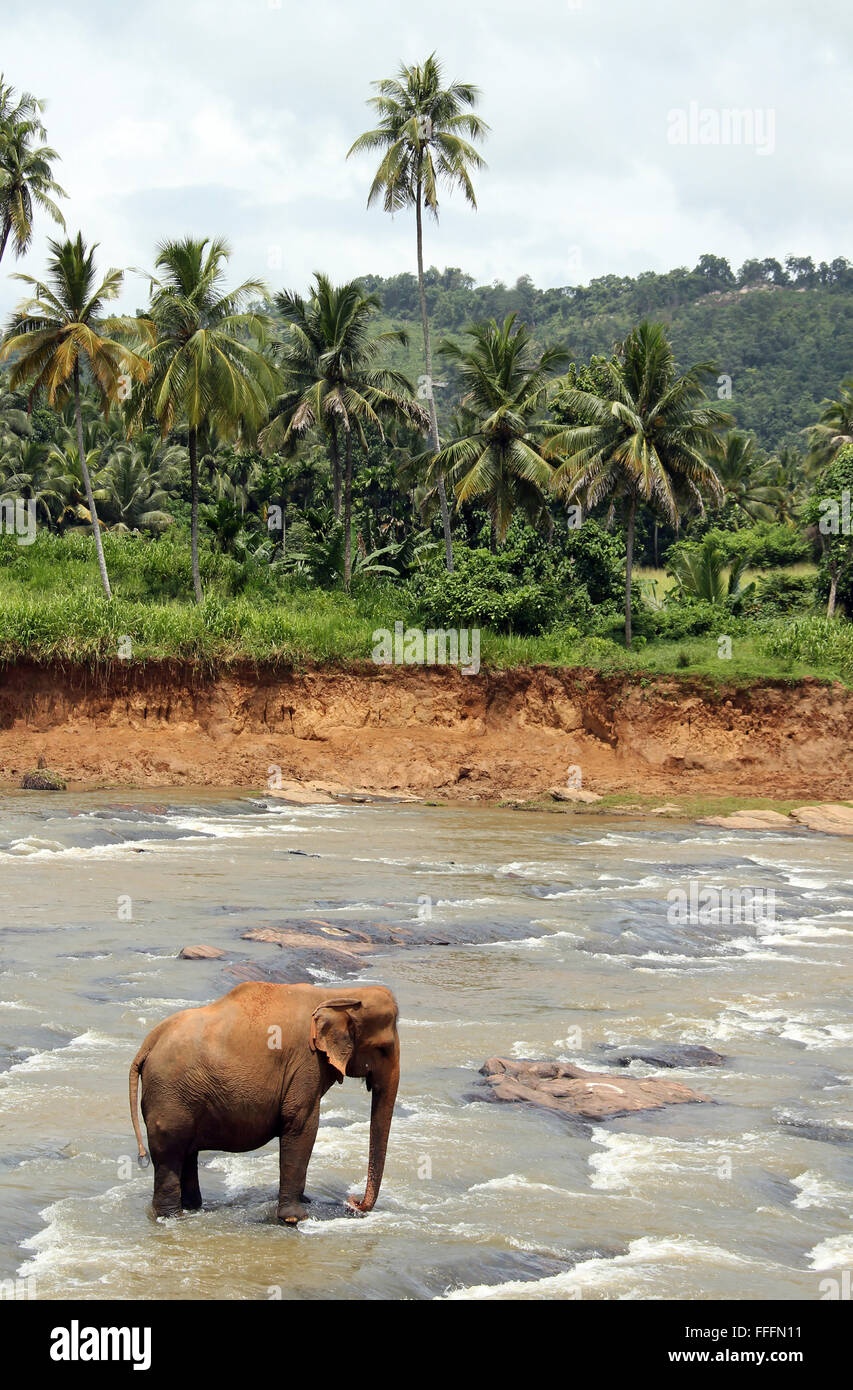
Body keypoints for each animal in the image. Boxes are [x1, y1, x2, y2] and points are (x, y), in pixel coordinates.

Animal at [129, 981, 400, 1223]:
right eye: (383, 1049)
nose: (353, 1202)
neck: (336, 994)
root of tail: (147, 1045)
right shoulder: (306, 1062)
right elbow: (302, 1124)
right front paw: (296, 1218)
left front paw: (305, 1203)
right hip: (169, 1096)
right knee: (170, 1152)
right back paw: (172, 1217)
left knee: (187, 1152)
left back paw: (193, 1208)